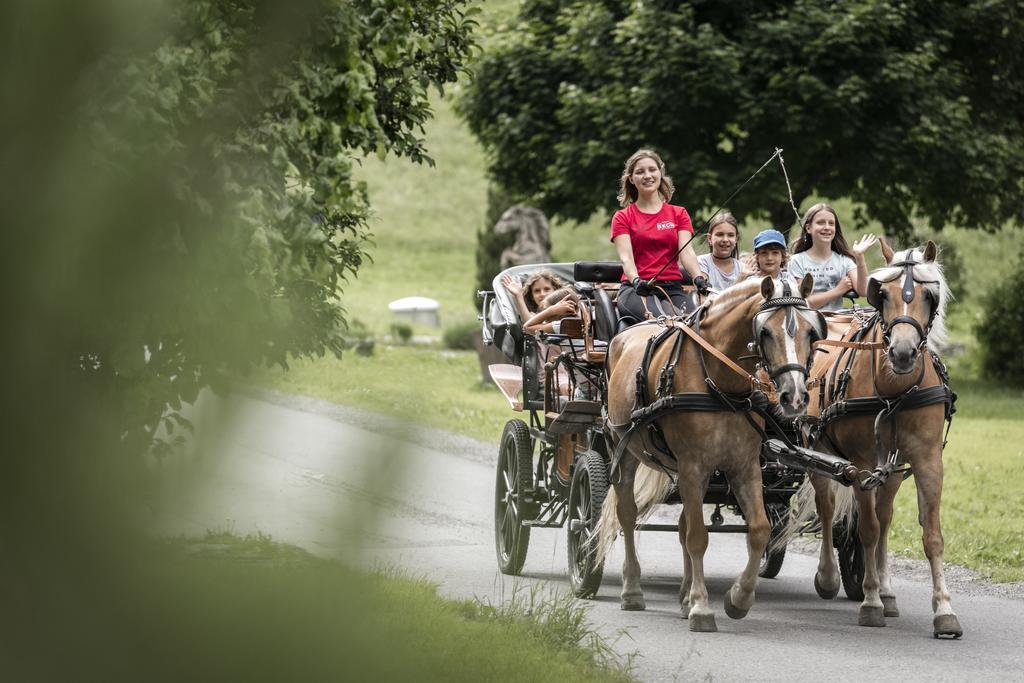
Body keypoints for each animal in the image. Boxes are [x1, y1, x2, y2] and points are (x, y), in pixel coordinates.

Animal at [598, 274, 823, 630]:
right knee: (628, 515)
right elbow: (698, 537)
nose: (795, 396)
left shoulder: (744, 467)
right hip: (624, 450)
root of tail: (622, 336)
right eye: (765, 331)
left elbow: (759, 529)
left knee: (681, 525)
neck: (718, 381)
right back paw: (632, 589)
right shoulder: (693, 466)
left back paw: (684, 596)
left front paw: (737, 599)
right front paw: (702, 608)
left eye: (812, 332)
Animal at [790, 239, 958, 634]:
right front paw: (869, 602)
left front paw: (944, 610)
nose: (902, 352)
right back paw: (829, 577)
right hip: (817, 451)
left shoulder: (928, 460)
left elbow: (931, 535)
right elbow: (865, 528)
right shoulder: (862, 464)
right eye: (882, 294)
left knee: (885, 517)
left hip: (892, 469)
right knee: (828, 506)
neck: (894, 392)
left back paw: (888, 591)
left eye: (929, 295)